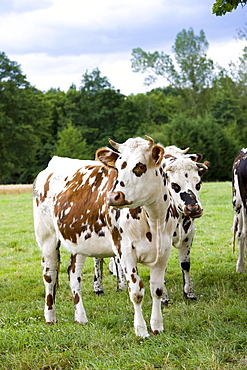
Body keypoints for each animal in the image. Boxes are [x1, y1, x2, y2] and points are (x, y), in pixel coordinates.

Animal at [32, 137, 179, 338]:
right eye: (117, 167)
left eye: (140, 166)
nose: (113, 196)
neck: (154, 218)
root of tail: (55, 162)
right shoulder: (125, 251)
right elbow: (136, 292)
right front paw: (141, 330)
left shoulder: (164, 251)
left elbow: (156, 289)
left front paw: (157, 326)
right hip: (46, 236)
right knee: (50, 275)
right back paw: (50, 317)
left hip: (79, 242)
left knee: (73, 275)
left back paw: (80, 317)